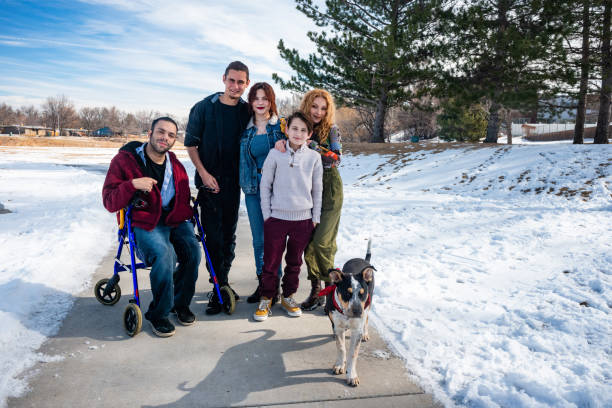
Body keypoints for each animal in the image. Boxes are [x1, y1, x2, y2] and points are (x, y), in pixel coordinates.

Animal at [318, 244, 376, 388]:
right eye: (347, 293)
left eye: (362, 293)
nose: (357, 311)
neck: (346, 315)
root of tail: (363, 259)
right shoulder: (338, 327)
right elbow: (341, 348)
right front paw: (340, 366)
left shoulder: (357, 330)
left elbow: (353, 354)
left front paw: (352, 375)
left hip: (369, 304)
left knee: (367, 318)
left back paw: (366, 333)